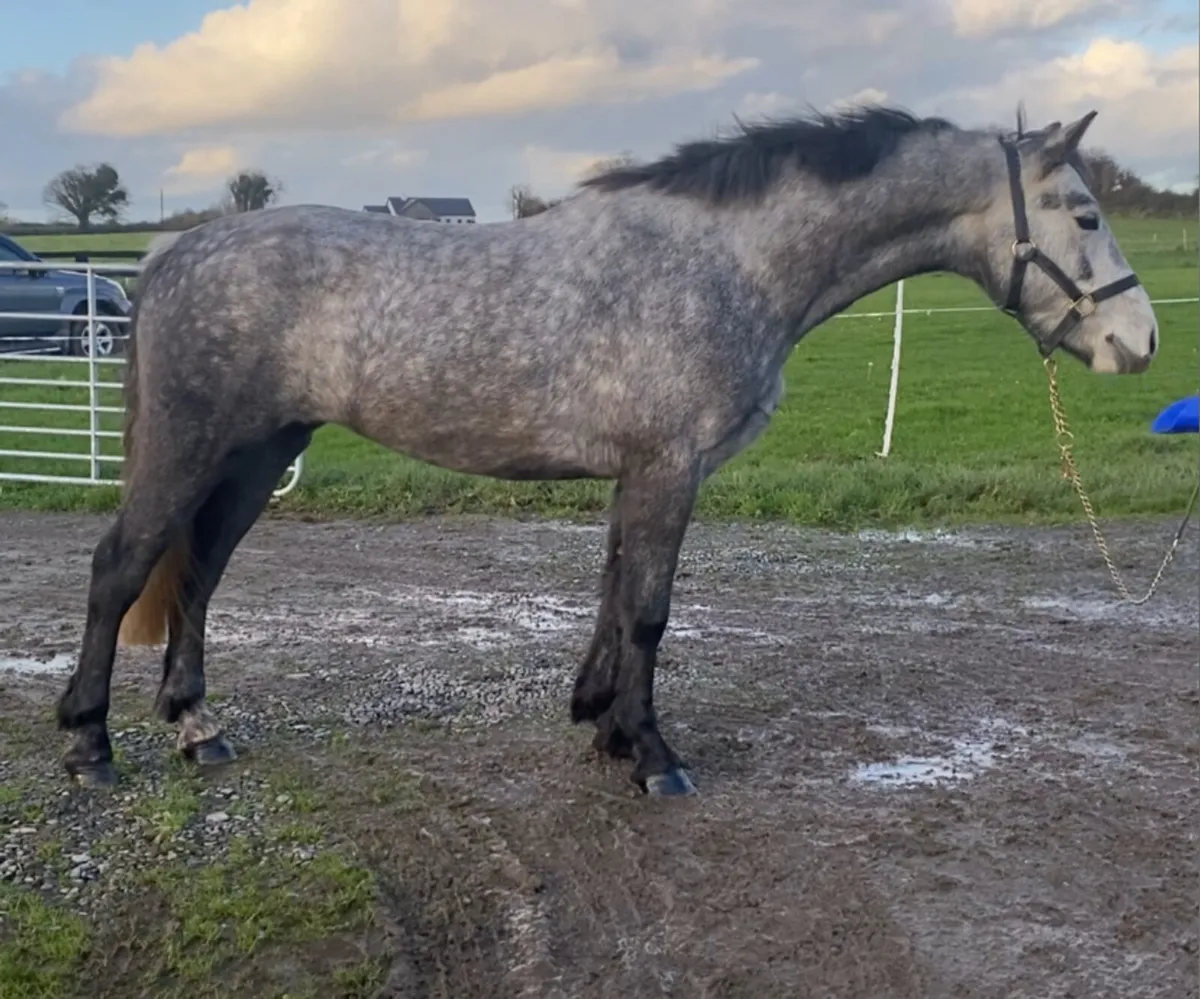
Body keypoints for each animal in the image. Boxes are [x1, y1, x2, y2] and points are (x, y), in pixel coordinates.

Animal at [54, 104, 1157, 798]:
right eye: (1086, 212)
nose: (1138, 342)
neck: (726, 263)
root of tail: (174, 249)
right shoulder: (670, 466)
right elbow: (652, 611)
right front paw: (654, 755)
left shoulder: (643, 471)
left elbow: (615, 593)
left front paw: (603, 722)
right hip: (191, 448)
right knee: (120, 566)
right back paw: (89, 744)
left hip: (254, 457)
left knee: (197, 575)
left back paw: (200, 730)